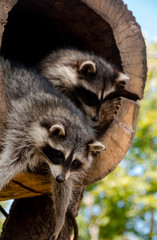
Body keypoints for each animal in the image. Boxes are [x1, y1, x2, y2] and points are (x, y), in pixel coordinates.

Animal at [0, 57, 105, 240]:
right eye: (59, 154)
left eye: (75, 162)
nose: (60, 178)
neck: (68, 117)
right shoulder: (24, 127)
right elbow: (11, 160)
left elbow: (65, 185)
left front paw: (60, 215)